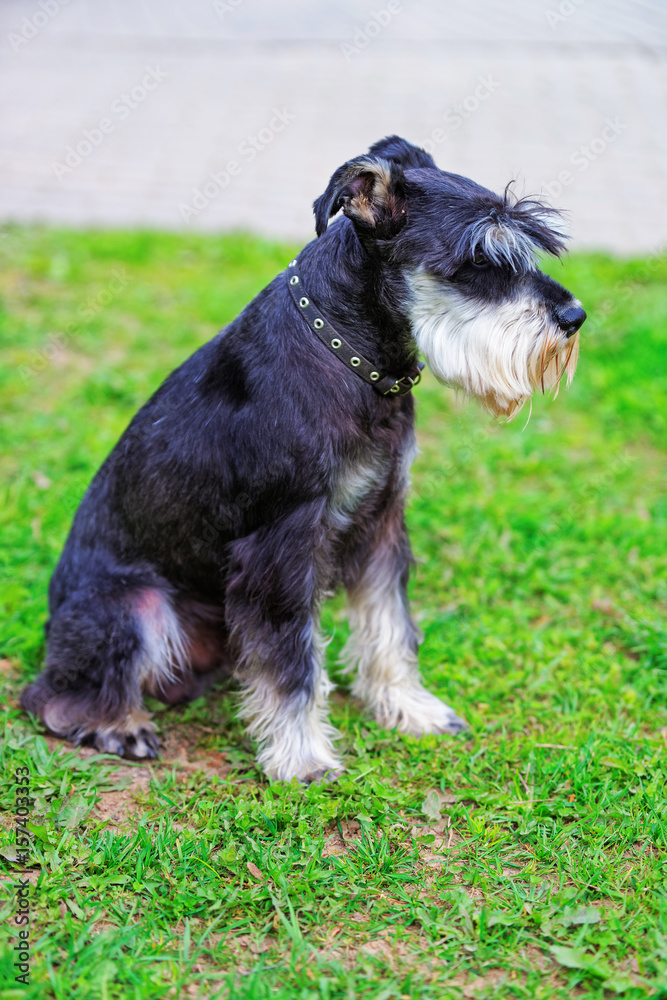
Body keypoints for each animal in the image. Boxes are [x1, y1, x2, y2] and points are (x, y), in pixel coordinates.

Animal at [19, 135, 584, 780]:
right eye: (480, 260)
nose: (574, 317)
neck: (351, 355)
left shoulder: (381, 519)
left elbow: (388, 625)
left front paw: (409, 707)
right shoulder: (283, 544)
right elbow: (293, 659)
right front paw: (302, 755)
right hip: (135, 604)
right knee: (50, 695)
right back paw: (119, 724)